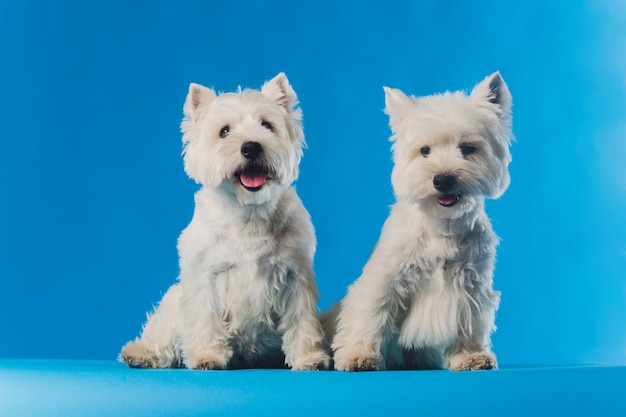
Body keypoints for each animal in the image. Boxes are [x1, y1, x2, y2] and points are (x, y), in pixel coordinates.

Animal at [119, 73, 330, 368]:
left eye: (267, 125)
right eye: (224, 131)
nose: (251, 147)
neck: (248, 212)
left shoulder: (295, 276)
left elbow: (301, 321)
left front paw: (309, 358)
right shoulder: (205, 277)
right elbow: (206, 318)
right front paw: (207, 355)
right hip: (173, 299)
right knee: (161, 335)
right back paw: (139, 353)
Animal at [322, 71, 512, 370]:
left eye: (467, 148)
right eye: (424, 151)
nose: (442, 179)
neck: (441, 225)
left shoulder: (472, 285)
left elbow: (469, 322)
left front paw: (470, 356)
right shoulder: (384, 280)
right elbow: (370, 316)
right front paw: (359, 355)